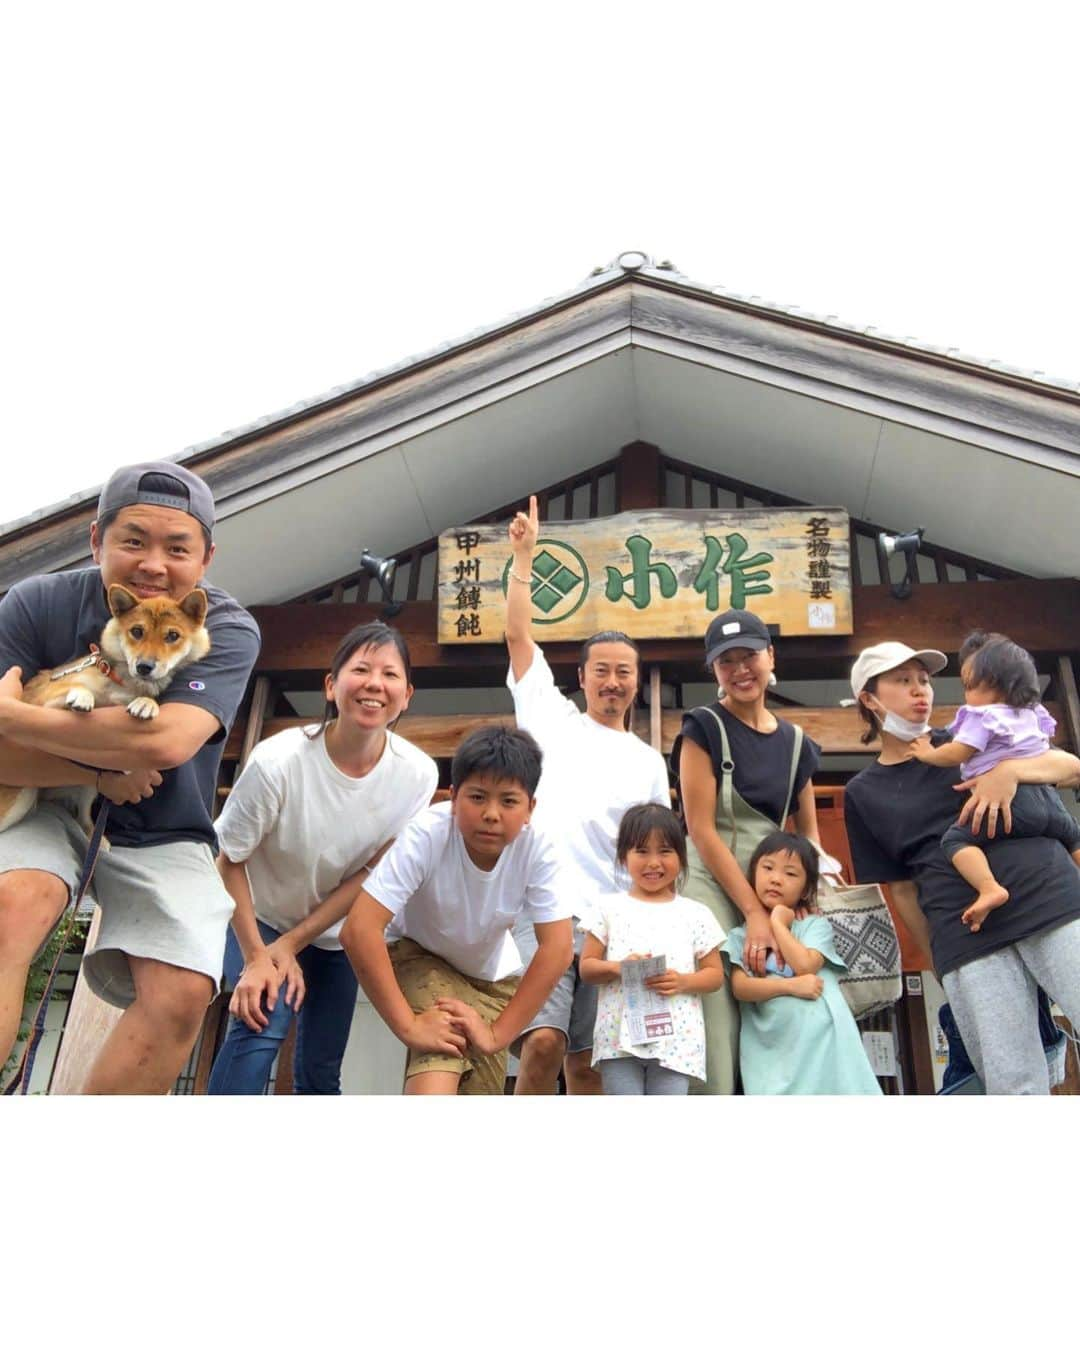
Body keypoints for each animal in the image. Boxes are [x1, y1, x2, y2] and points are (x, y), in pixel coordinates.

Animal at [0, 584, 211, 834]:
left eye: (173, 636)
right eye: (137, 631)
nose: (144, 667)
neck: (121, 681)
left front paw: (146, 703)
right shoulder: (44, 700)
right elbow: (77, 687)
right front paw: (82, 696)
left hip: (87, 787)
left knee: (85, 820)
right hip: (21, 796)